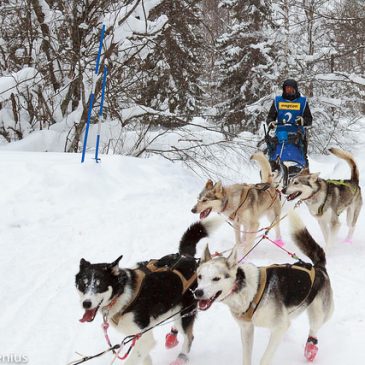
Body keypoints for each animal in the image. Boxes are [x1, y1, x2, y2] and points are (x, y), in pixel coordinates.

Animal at [75, 218, 219, 362]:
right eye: (83, 284)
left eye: (100, 285)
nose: (86, 303)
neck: (122, 294)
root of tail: (186, 257)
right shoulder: (139, 337)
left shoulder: (145, 338)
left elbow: (133, 359)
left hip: (185, 312)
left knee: (189, 336)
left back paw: (181, 358)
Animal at [195, 210, 334, 364]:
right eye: (200, 276)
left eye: (216, 278)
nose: (197, 292)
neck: (245, 291)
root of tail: (318, 267)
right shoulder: (247, 329)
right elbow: (246, 357)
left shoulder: (279, 327)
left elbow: (265, 358)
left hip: (319, 313)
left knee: (314, 329)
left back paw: (310, 349)